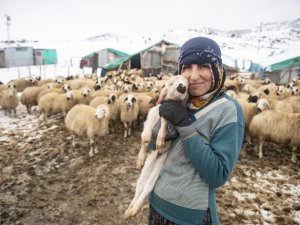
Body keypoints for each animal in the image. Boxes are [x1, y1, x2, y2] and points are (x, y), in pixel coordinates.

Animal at [125, 74, 189, 219]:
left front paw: (160, 138)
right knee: (140, 184)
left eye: (187, 83)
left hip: (159, 164)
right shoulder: (152, 116)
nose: (181, 86)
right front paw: (140, 158)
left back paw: (134, 209)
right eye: (170, 83)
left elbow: (166, 122)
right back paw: (130, 208)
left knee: (148, 186)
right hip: (149, 165)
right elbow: (145, 138)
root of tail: (155, 156)